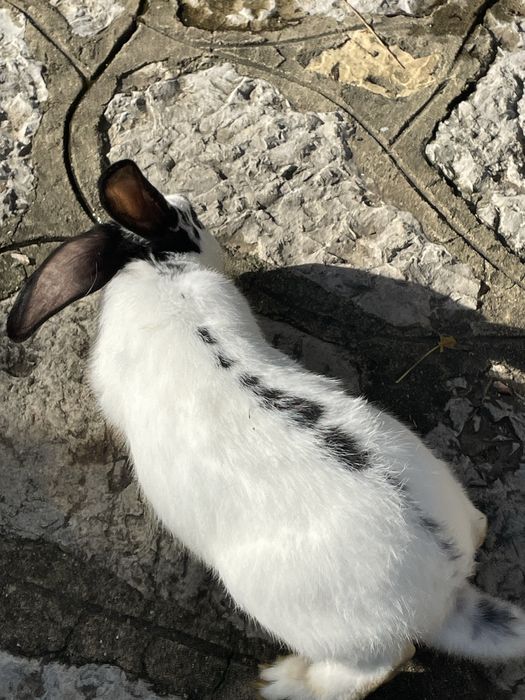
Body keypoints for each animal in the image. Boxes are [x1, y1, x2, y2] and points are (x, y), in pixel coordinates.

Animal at [7, 159, 525, 700]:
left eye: (191, 212)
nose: (202, 215)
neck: (160, 266)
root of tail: (447, 590)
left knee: (383, 665)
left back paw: (282, 681)